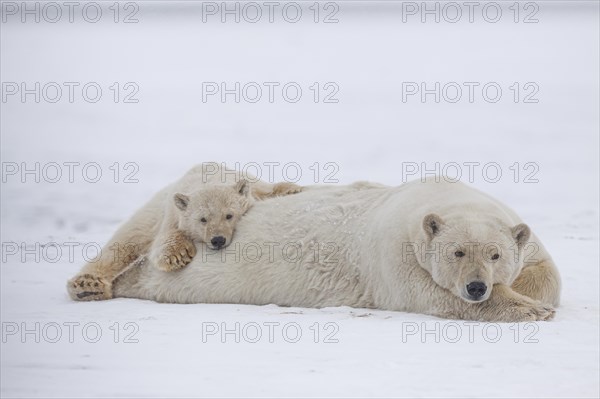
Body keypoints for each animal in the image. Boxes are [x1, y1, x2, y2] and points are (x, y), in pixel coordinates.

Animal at [105, 177, 560, 322]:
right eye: (457, 253)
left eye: (495, 254)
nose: (477, 287)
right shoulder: (393, 254)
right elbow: (431, 294)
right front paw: (529, 309)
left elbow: (546, 271)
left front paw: (531, 297)